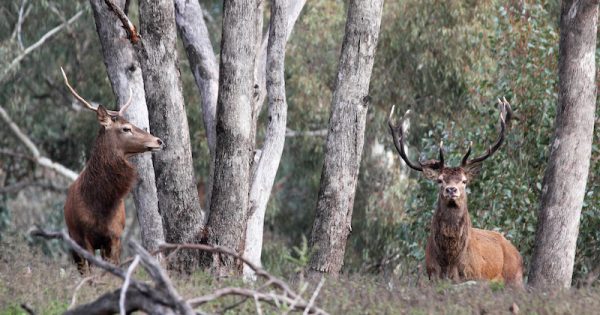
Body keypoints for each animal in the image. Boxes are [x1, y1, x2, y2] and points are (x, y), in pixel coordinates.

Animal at [61, 68, 164, 272]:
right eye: (126, 128)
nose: (159, 141)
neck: (102, 205)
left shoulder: (115, 237)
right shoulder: (85, 238)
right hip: (73, 241)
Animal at [386, 99, 524, 288]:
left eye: (464, 181)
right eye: (440, 180)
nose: (451, 189)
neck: (450, 261)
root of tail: (517, 252)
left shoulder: (476, 276)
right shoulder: (432, 275)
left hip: (515, 278)